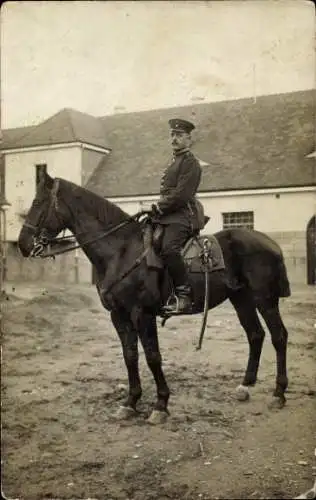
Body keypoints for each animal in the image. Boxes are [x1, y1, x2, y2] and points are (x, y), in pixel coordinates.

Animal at [16, 174, 288, 424]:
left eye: (38, 202)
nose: (22, 245)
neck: (120, 250)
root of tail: (271, 243)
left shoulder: (142, 313)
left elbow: (152, 357)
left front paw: (160, 405)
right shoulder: (119, 315)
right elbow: (130, 356)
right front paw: (130, 402)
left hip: (265, 299)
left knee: (278, 336)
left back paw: (279, 393)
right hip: (241, 299)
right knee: (255, 335)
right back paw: (245, 387)